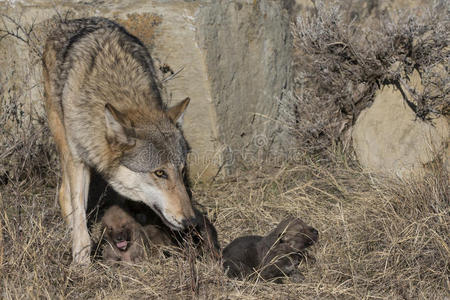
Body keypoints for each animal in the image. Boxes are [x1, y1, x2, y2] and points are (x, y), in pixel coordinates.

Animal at [42, 17, 195, 264]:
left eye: (181, 171)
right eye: (160, 173)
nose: (191, 221)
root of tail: (68, 21)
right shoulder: (78, 160)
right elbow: (80, 217)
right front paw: (82, 263)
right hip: (63, 141)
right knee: (65, 194)